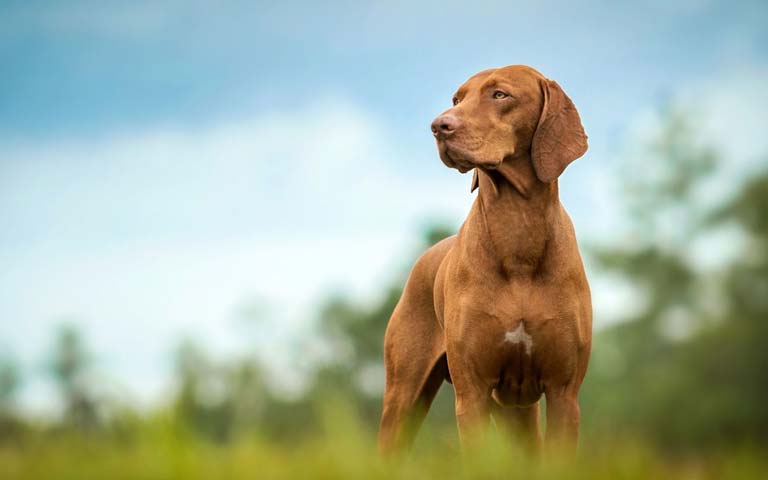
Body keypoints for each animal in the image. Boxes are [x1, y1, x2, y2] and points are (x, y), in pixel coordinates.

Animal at [380, 65, 592, 456]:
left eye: (499, 95)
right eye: (456, 99)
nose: (439, 126)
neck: (517, 230)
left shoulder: (564, 393)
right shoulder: (472, 394)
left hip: (518, 411)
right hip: (404, 396)